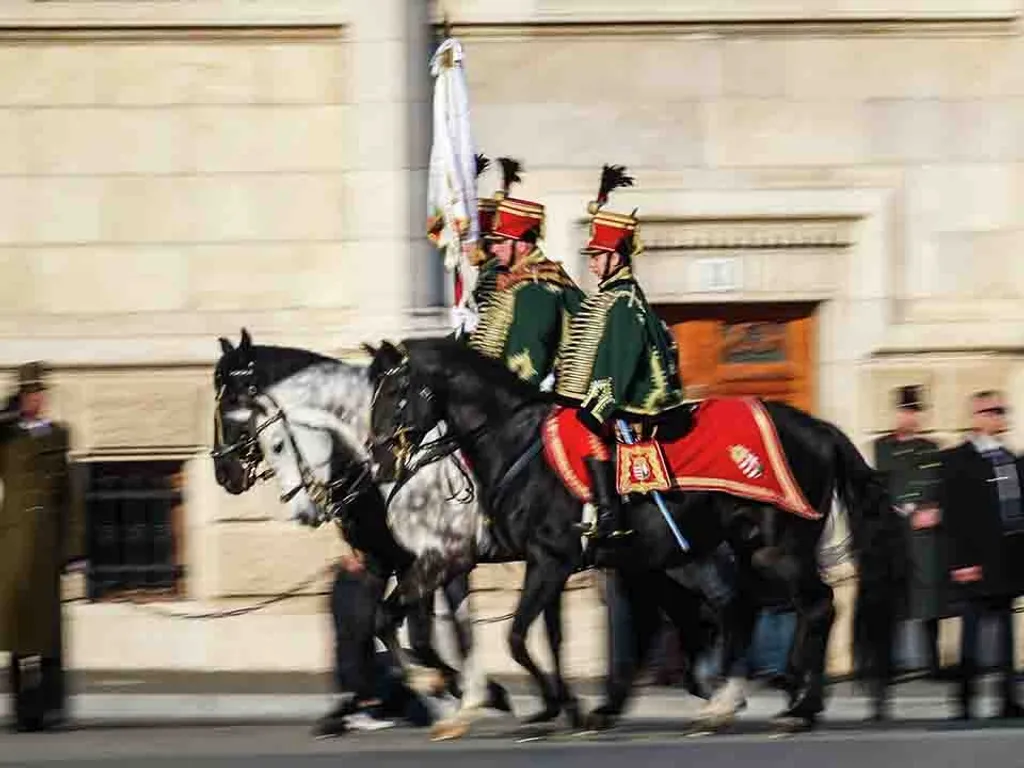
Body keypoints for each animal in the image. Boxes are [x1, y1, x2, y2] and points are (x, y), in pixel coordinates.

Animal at [366, 337, 905, 733]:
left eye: (394, 394)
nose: (379, 461)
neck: (514, 442)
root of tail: (818, 428)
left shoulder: (543, 559)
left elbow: (516, 636)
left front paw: (533, 702)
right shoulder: (530, 563)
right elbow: (521, 634)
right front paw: (541, 703)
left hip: (775, 548)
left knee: (814, 606)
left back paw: (797, 704)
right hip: (712, 551)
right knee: (741, 609)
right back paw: (747, 697)